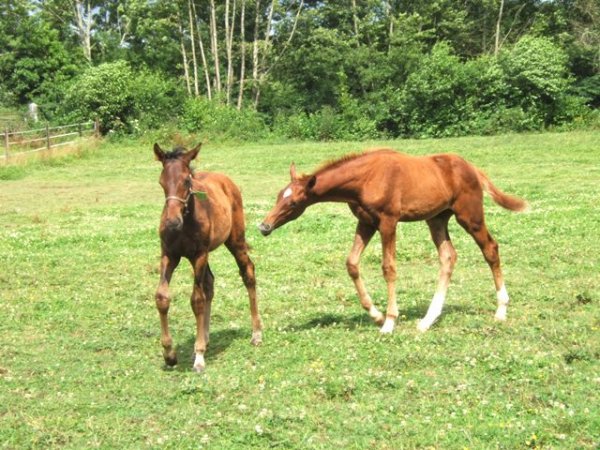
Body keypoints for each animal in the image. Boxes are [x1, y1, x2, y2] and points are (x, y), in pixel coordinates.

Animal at [154, 142, 262, 370]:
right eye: (161, 181)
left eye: (187, 181)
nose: (172, 222)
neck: (185, 223)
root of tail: (227, 180)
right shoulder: (169, 255)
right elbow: (162, 297)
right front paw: (169, 354)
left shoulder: (199, 255)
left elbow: (197, 300)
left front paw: (199, 356)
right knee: (210, 283)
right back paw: (205, 336)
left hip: (235, 240)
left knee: (248, 272)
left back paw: (257, 333)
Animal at [258, 149, 524, 332]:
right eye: (279, 195)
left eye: (293, 203)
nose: (264, 226)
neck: (365, 179)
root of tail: (473, 169)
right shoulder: (366, 222)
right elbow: (352, 263)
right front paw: (375, 315)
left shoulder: (388, 221)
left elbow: (389, 268)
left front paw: (389, 321)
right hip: (437, 219)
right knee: (448, 256)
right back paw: (427, 320)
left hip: (470, 216)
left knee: (490, 248)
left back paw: (501, 310)